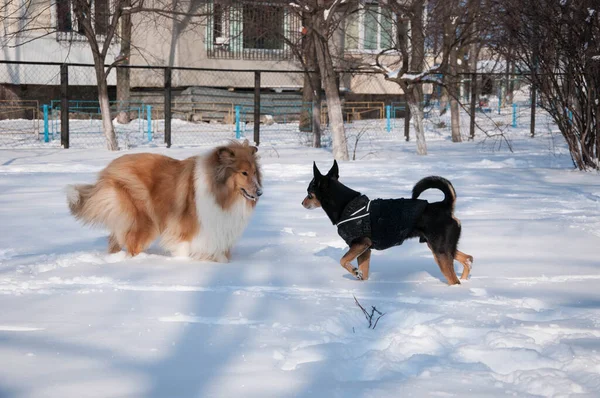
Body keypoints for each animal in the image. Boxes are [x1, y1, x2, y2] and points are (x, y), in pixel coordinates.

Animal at [66, 140, 262, 262]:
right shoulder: (186, 230)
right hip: (144, 222)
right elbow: (184, 250)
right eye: (243, 173)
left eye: (254, 172)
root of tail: (108, 169)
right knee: (132, 247)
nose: (259, 192)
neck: (220, 193)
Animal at [304, 160, 474, 284]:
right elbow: (363, 272)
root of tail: (446, 206)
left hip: (440, 250)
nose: (302, 203)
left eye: (309, 193)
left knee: (454, 279)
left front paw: (355, 272)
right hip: (441, 247)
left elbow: (342, 260)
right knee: (468, 258)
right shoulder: (365, 250)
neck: (346, 206)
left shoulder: (360, 243)